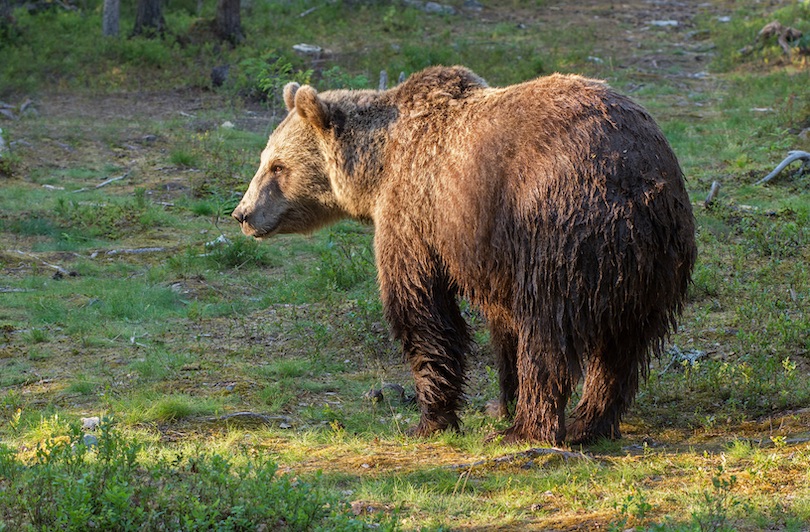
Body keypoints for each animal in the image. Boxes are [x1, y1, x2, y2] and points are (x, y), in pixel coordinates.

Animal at [229, 64, 696, 444]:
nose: (242, 213)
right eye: (265, 159)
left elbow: (423, 312)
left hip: (561, 233)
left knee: (547, 334)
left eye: (277, 166)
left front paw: (430, 419)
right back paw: (589, 423)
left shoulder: (418, 214)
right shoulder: (493, 251)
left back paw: (527, 429)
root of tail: (640, 188)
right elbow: (503, 325)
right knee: (620, 351)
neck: (377, 167)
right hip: (649, 268)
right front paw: (499, 401)